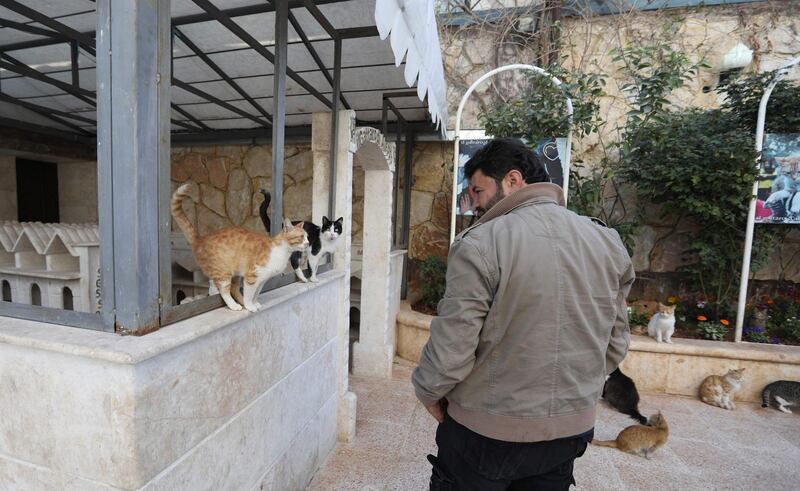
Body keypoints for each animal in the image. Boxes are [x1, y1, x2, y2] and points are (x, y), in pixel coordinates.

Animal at [171, 183, 306, 314]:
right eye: (301, 237)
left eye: (307, 236)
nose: (308, 243)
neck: (282, 251)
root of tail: (200, 239)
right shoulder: (251, 277)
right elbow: (249, 295)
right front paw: (250, 306)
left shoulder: (261, 280)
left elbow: (255, 294)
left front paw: (254, 303)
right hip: (223, 272)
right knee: (224, 291)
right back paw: (234, 306)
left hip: (235, 273)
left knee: (234, 289)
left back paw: (241, 303)